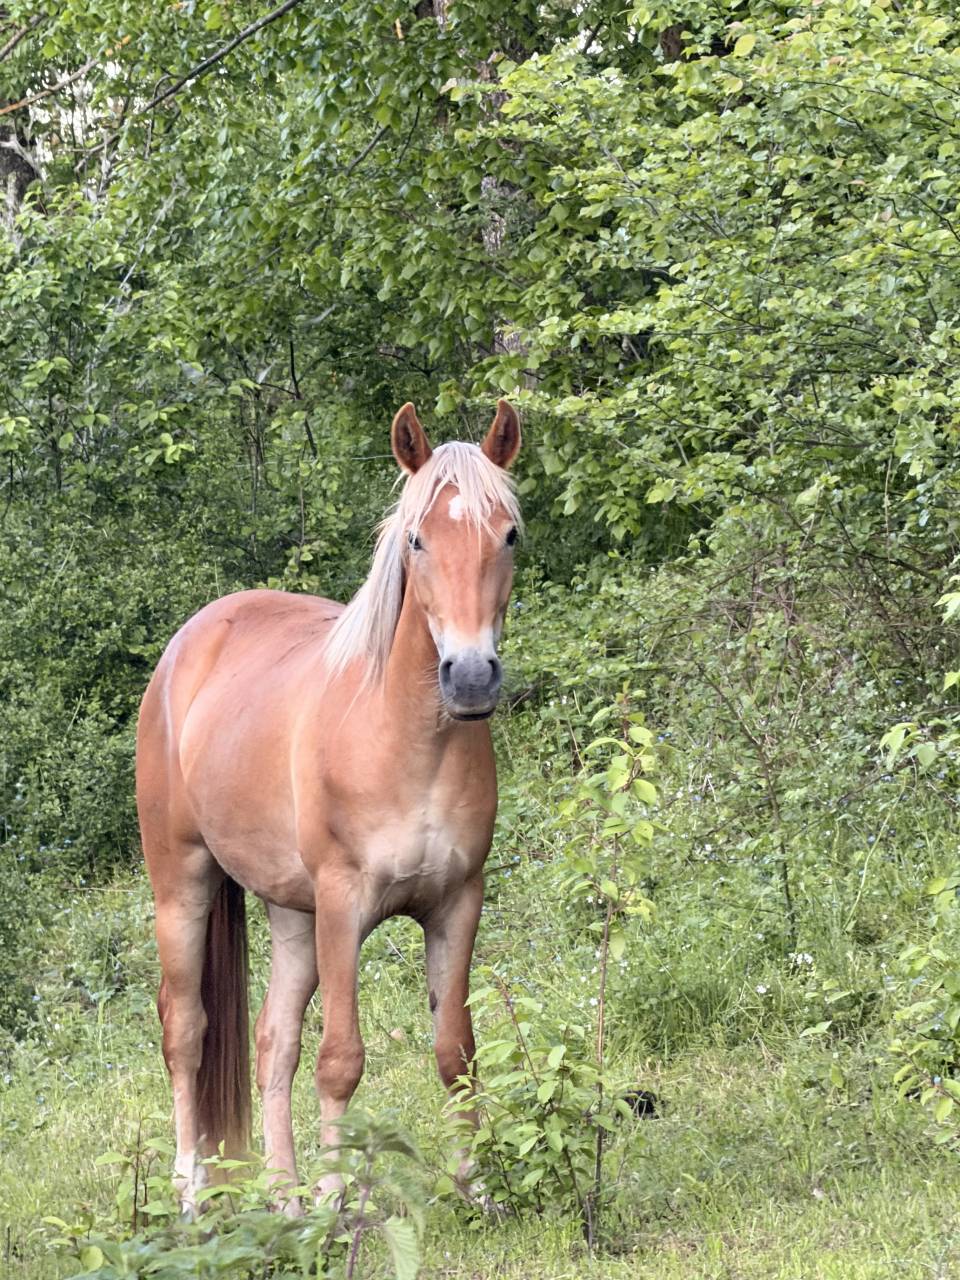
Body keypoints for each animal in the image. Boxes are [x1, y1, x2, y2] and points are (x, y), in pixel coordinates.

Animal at [136, 399, 522, 1214]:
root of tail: (190, 643)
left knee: (272, 1041)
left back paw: (284, 1196)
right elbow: (342, 1057)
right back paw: (191, 1191)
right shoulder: (345, 906)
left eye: (508, 534)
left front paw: (475, 1189)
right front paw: (339, 1198)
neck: (407, 743)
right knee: (185, 1030)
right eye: (416, 539)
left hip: (293, 914)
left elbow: (456, 1051)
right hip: (182, 887)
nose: (471, 676)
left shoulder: (457, 903)